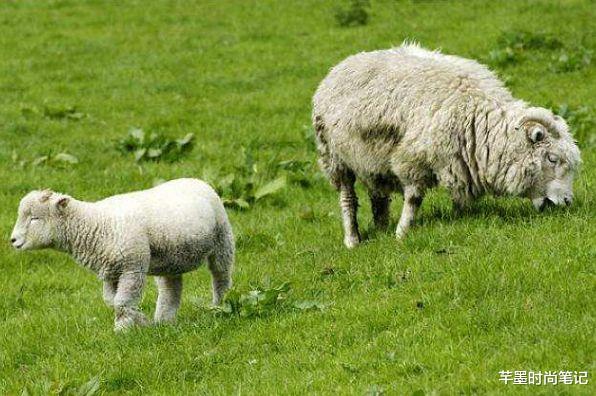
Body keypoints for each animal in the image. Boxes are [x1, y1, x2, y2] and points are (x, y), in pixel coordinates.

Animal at [9, 178, 233, 330]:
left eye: (35, 218)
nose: (13, 240)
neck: (96, 223)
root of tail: (197, 180)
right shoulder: (110, 271)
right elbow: (112, 301)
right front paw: (140, 321)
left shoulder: (132, 268)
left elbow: (122, 301)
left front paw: (124, 328)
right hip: (171, 258)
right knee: (170, 289)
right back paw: (164, 322)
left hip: (223, 240)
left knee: (221, 276)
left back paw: (218, 306)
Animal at [312, 43, 584, 248]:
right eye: (552, 158)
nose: (568, 202)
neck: (476, 114)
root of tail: (340, 66)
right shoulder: (413, 158)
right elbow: (413, 199)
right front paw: (402, 234)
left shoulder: (460, 162)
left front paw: (460, 218)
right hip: (334, 157)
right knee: (347, 197)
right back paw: (352, 239)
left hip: (370, 159)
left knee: (378, 196)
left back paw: (380, 228)